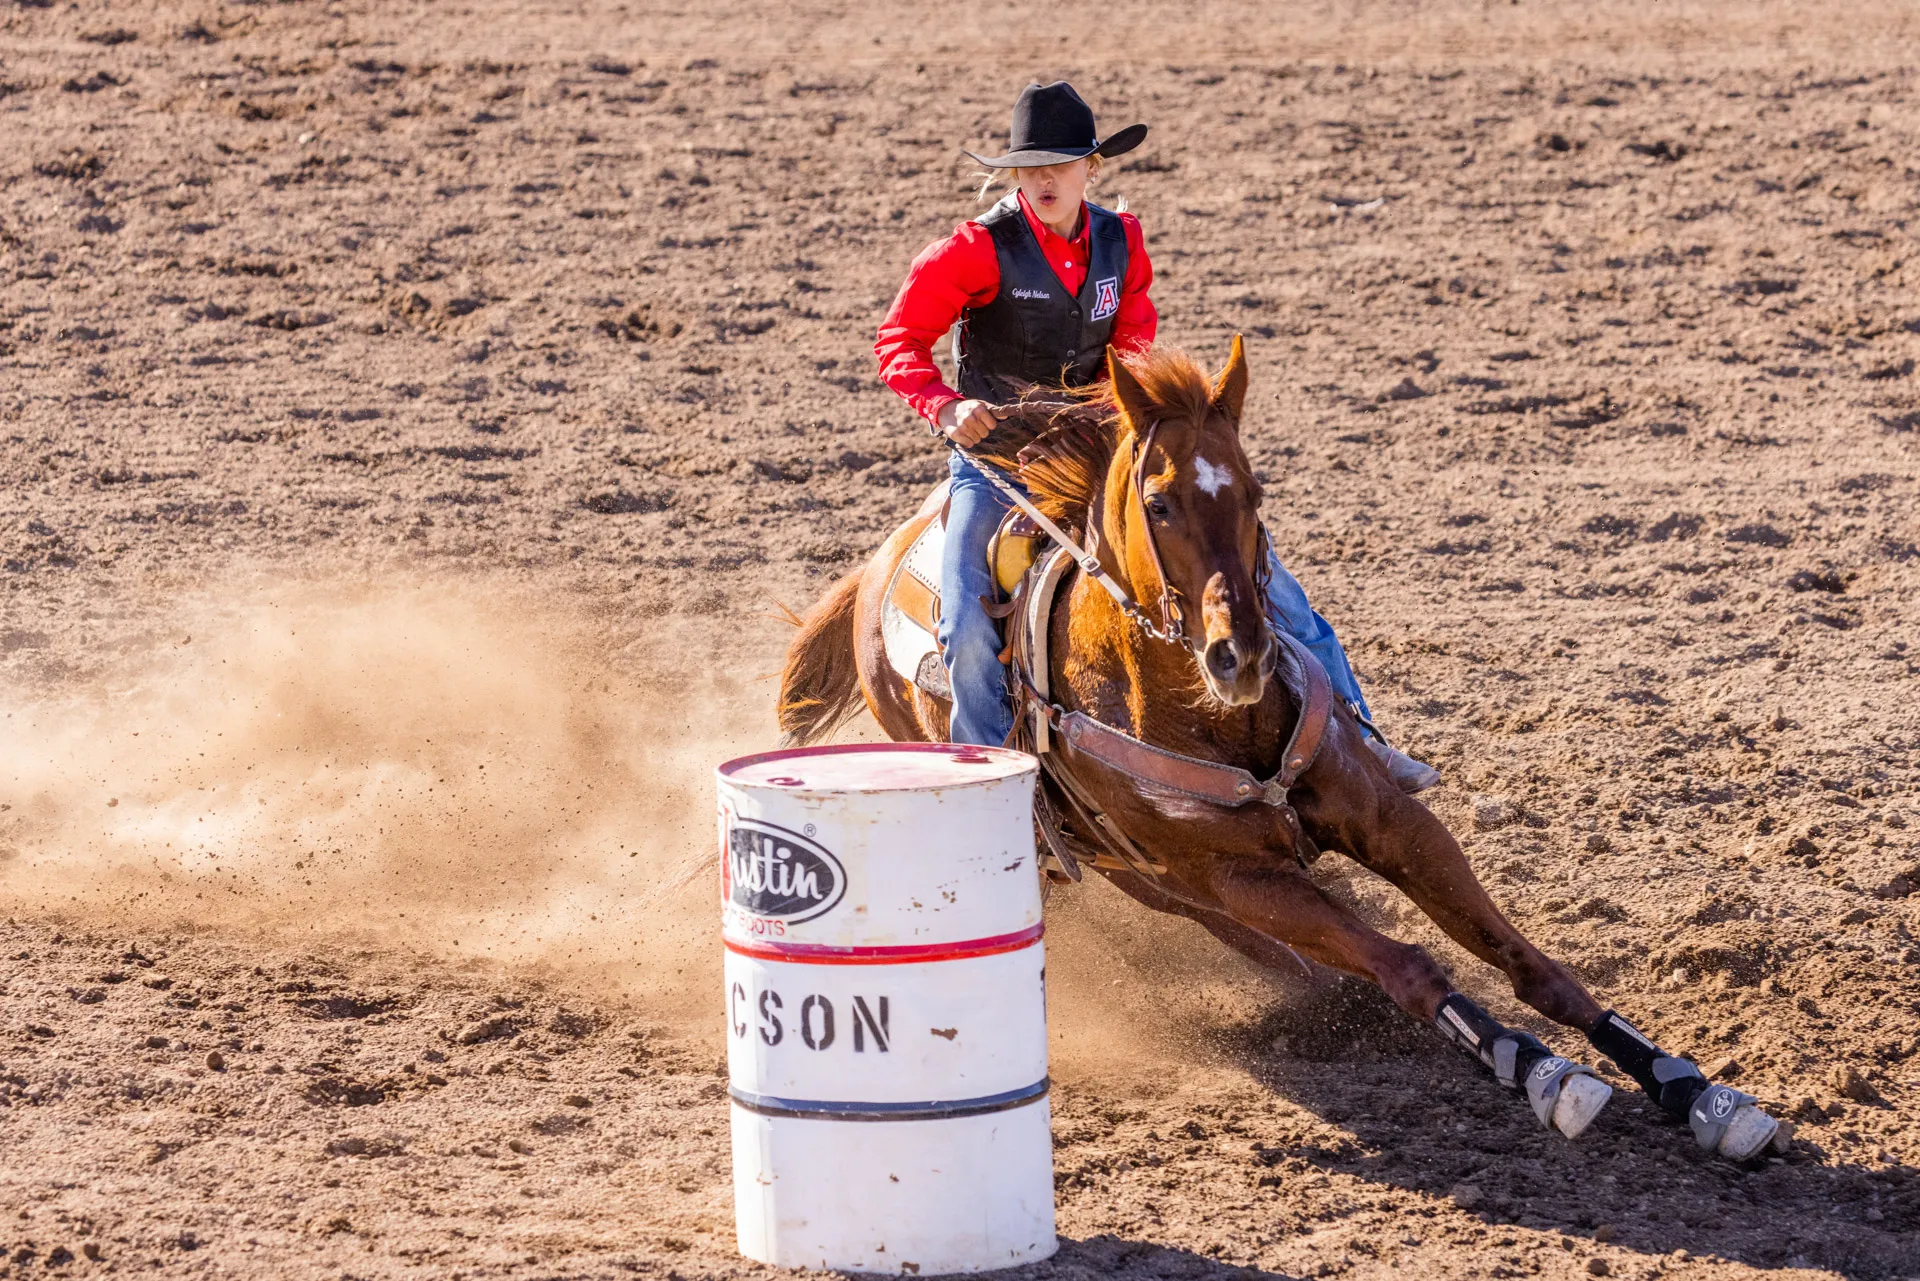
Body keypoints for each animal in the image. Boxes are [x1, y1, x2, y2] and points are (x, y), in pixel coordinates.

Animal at [771, 338, 1774, 1160]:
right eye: (1160, 500)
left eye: (1256, 491)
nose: (1242, 653)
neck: (1217, 716)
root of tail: (874, 572)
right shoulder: (1239, 872)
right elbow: (1411, 965)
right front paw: (1535, 1069)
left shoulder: (1391, 820)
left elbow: (1529, 960)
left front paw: (1693, 1090)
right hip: (1148, 870)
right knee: (1246, 932)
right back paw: (1318, 987)